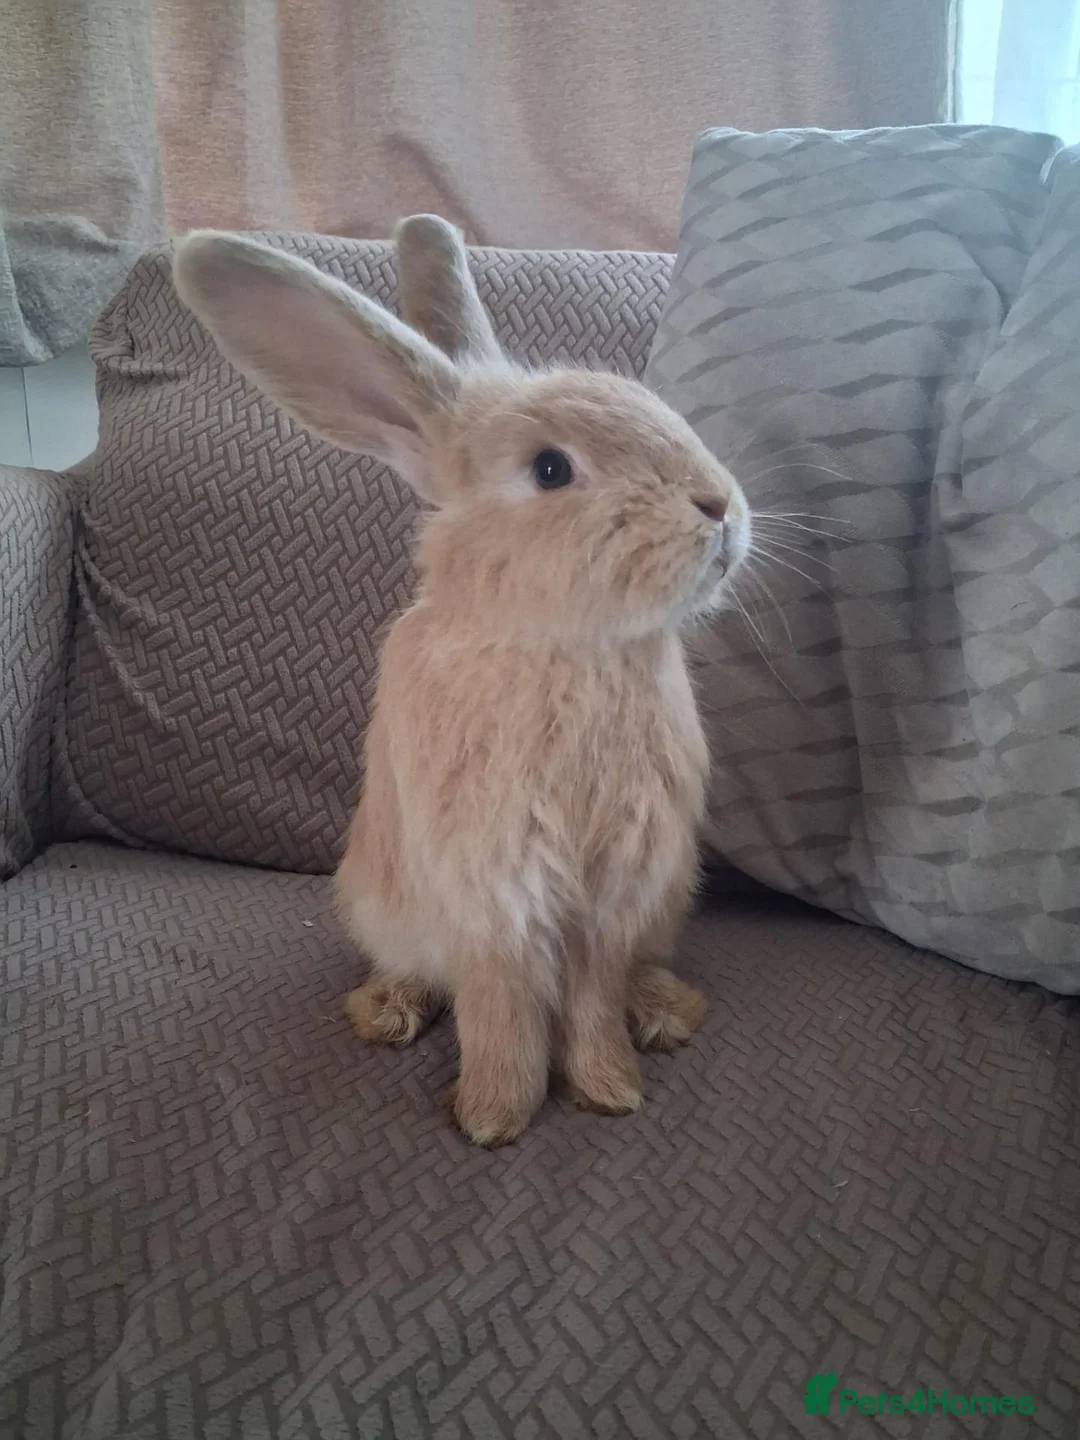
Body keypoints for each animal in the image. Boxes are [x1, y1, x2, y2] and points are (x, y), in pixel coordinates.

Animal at [172, 216, 751, 1147]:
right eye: (550, 469)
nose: (720, 508)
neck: (562, 647)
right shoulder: (491, 886)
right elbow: (499, 1005)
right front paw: (493, 1115)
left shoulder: (614, 894)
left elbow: (593, 998)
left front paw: (607, 1089)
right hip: (384, 909)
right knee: (421, 972)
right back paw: (387, 1011)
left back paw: (666, 1012)